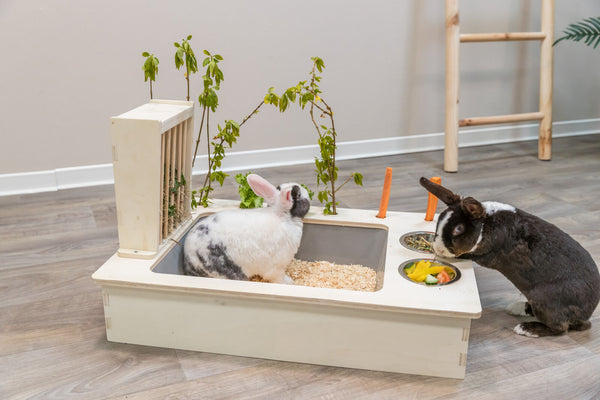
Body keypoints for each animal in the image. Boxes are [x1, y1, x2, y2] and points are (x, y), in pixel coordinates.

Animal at [420, 178, 596, 338]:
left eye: (458, 229)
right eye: (439, 222)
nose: (438, 248)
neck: (486, 225)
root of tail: (588, 311)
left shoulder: (486, 255)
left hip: (546, 302)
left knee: (560, 328)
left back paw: (526, 329)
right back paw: (517, 308)